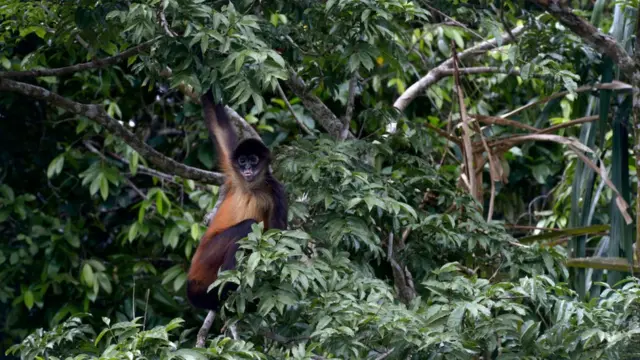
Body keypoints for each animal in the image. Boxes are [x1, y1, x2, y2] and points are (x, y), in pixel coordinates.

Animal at [186, 90, 288, 312]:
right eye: (242, 161)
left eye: (254, 160)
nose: (247, 169)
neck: (251, 187)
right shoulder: (234, 173)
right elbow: (218, 124)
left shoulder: (277, 191)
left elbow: (277, 236)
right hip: (205, 259)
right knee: (247, 226)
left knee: (247, 226)